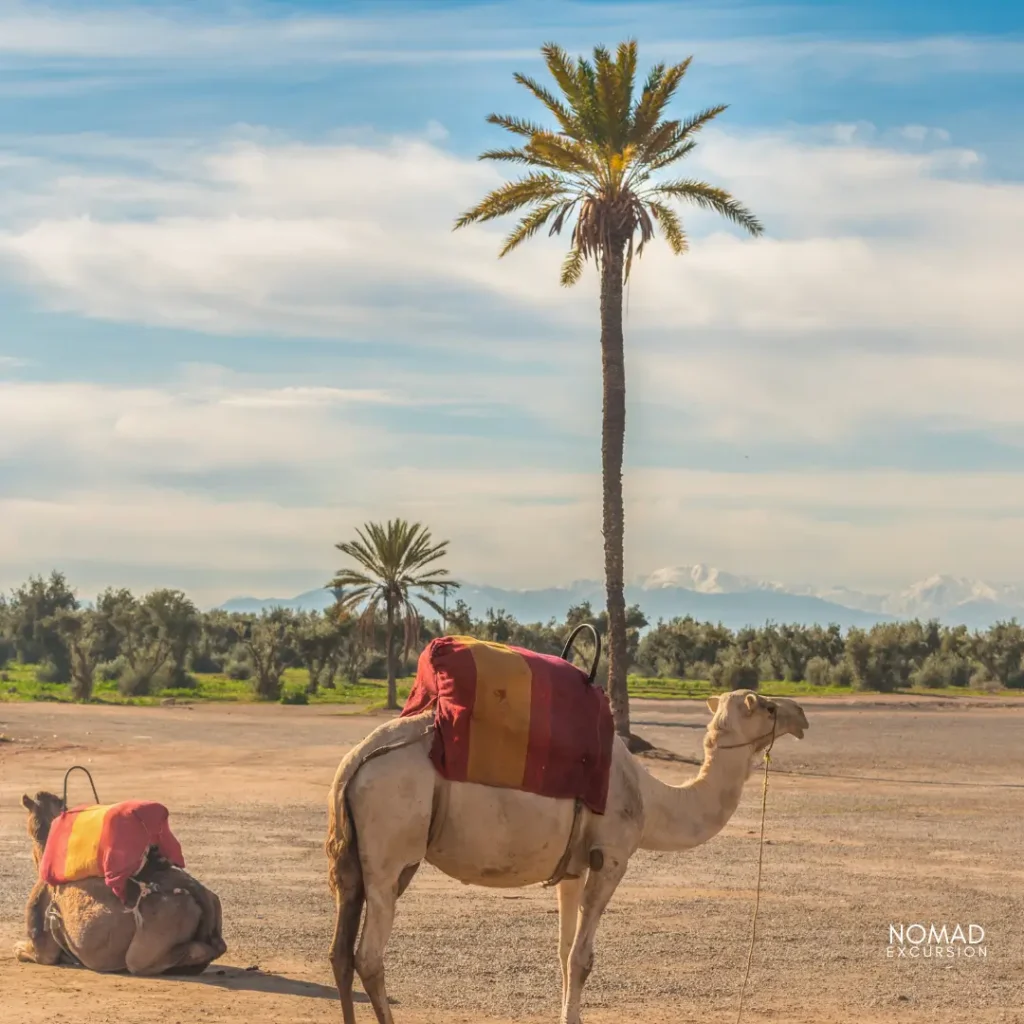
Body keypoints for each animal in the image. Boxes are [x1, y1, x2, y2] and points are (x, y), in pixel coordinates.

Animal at [14, 790, 226, 974]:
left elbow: (20, 950)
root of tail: (198, 893)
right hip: (211, 904)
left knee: (141, 961)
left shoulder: (43, 949)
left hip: (148, 943)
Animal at [325, 688, 806, 1024]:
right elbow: (582, 958)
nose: (801, 715)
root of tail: (356, 761)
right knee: (369, 956)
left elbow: (562, 950)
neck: (650, 799)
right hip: (391, 849)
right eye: (766, 706)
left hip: (358, 860)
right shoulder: (612, 857)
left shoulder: (573, 867)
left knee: (341, 952)